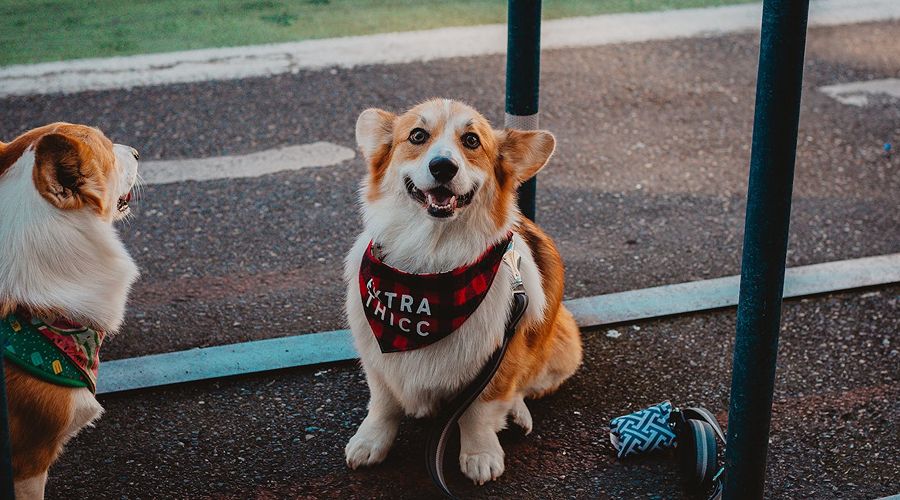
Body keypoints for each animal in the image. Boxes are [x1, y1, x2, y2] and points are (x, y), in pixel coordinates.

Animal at [344, 99, 584, 486]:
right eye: (417, 135)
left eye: (471, 140)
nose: (443, 166)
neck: (430, 264)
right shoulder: (377, 359)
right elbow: (383, 403)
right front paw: (370, 442)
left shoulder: (499, 356)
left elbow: (479, 411)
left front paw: (480, 455)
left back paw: (518, 413)